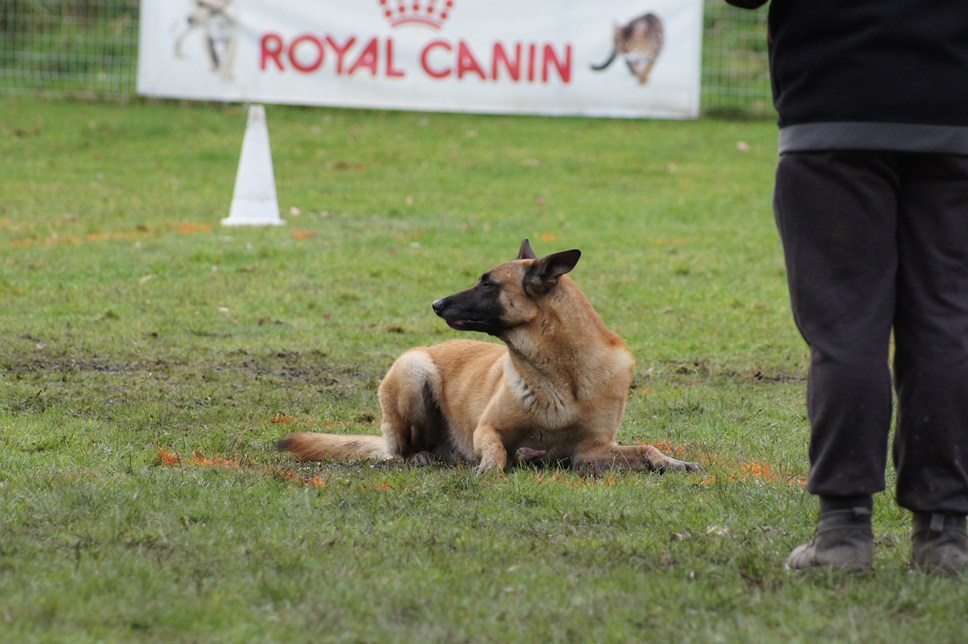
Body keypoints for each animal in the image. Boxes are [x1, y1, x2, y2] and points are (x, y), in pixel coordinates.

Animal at [276, 239, 700, 476]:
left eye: (487, 283)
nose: (436, 303)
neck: (560, 376)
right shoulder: (487, 429)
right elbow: (494, 449)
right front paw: (491, 466)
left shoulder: (592, 450)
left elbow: (646, 449)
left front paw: (674, 463)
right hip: (414, 372)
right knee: (405, 452)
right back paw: (422, 458)